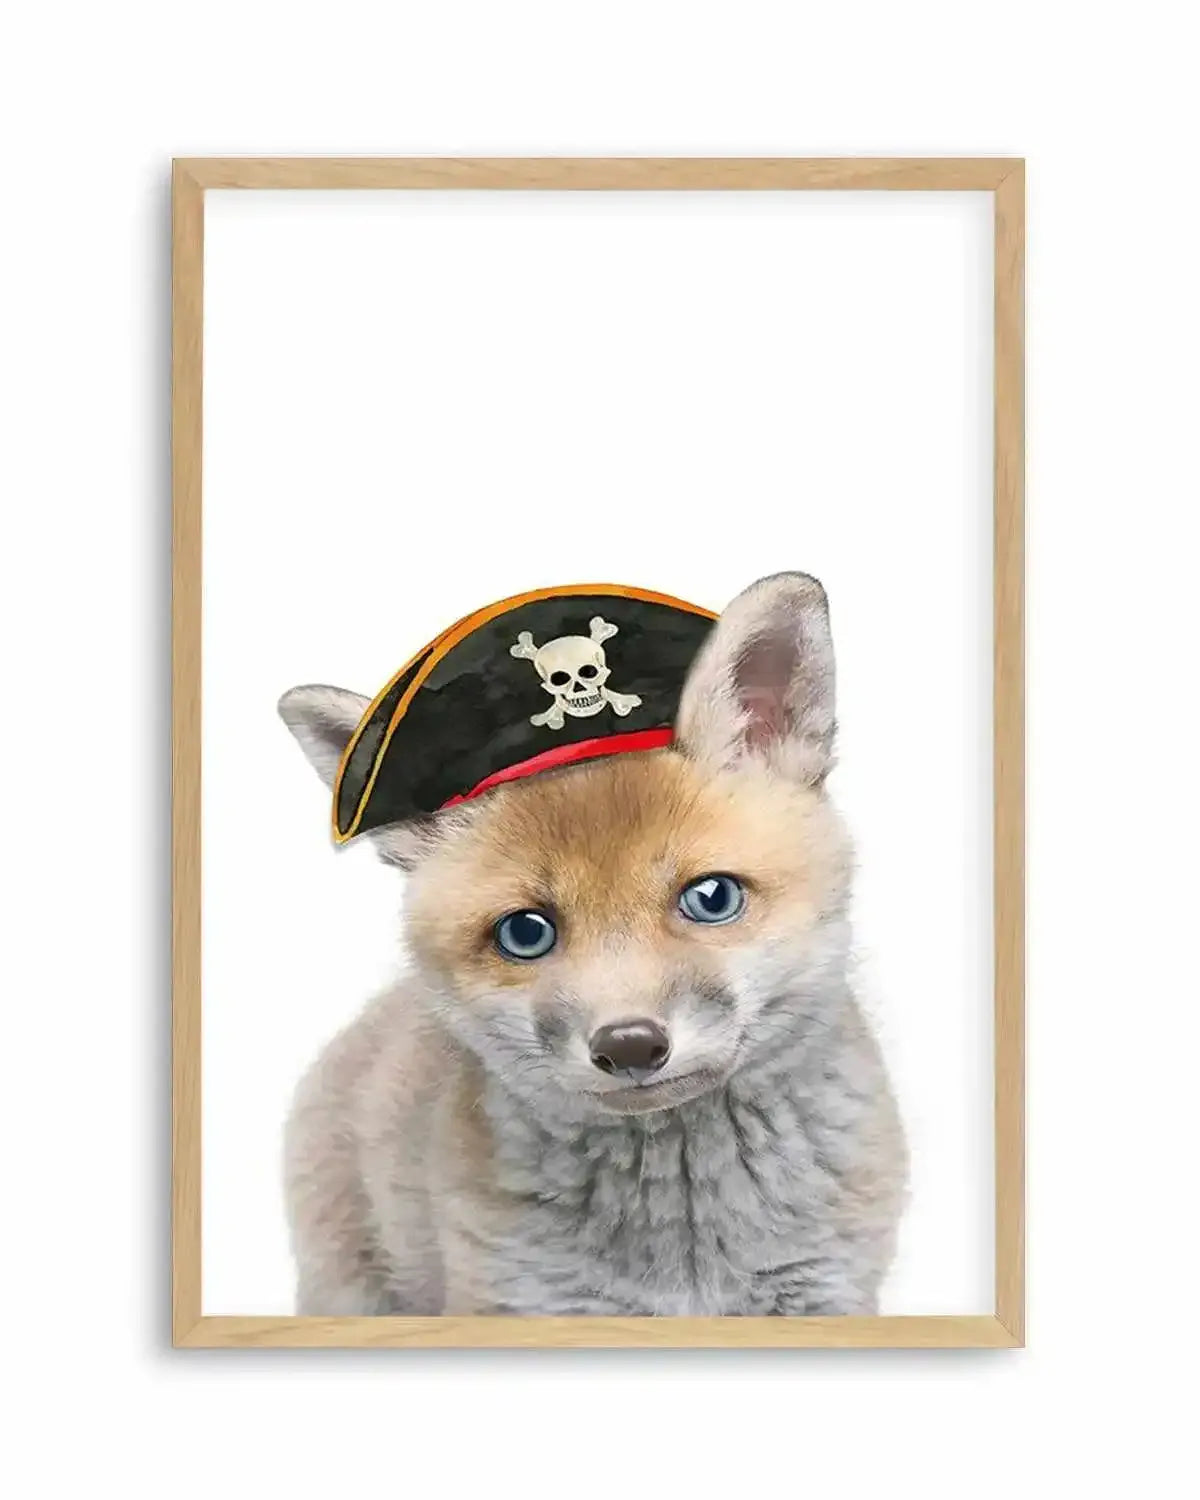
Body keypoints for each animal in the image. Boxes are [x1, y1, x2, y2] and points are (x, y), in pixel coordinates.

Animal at [278, 572, 907, 1316]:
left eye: (712, 898)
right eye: (526, 932)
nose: (629, 1046)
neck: (686, 1250)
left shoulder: (824, 1291)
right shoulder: (528, 1300)